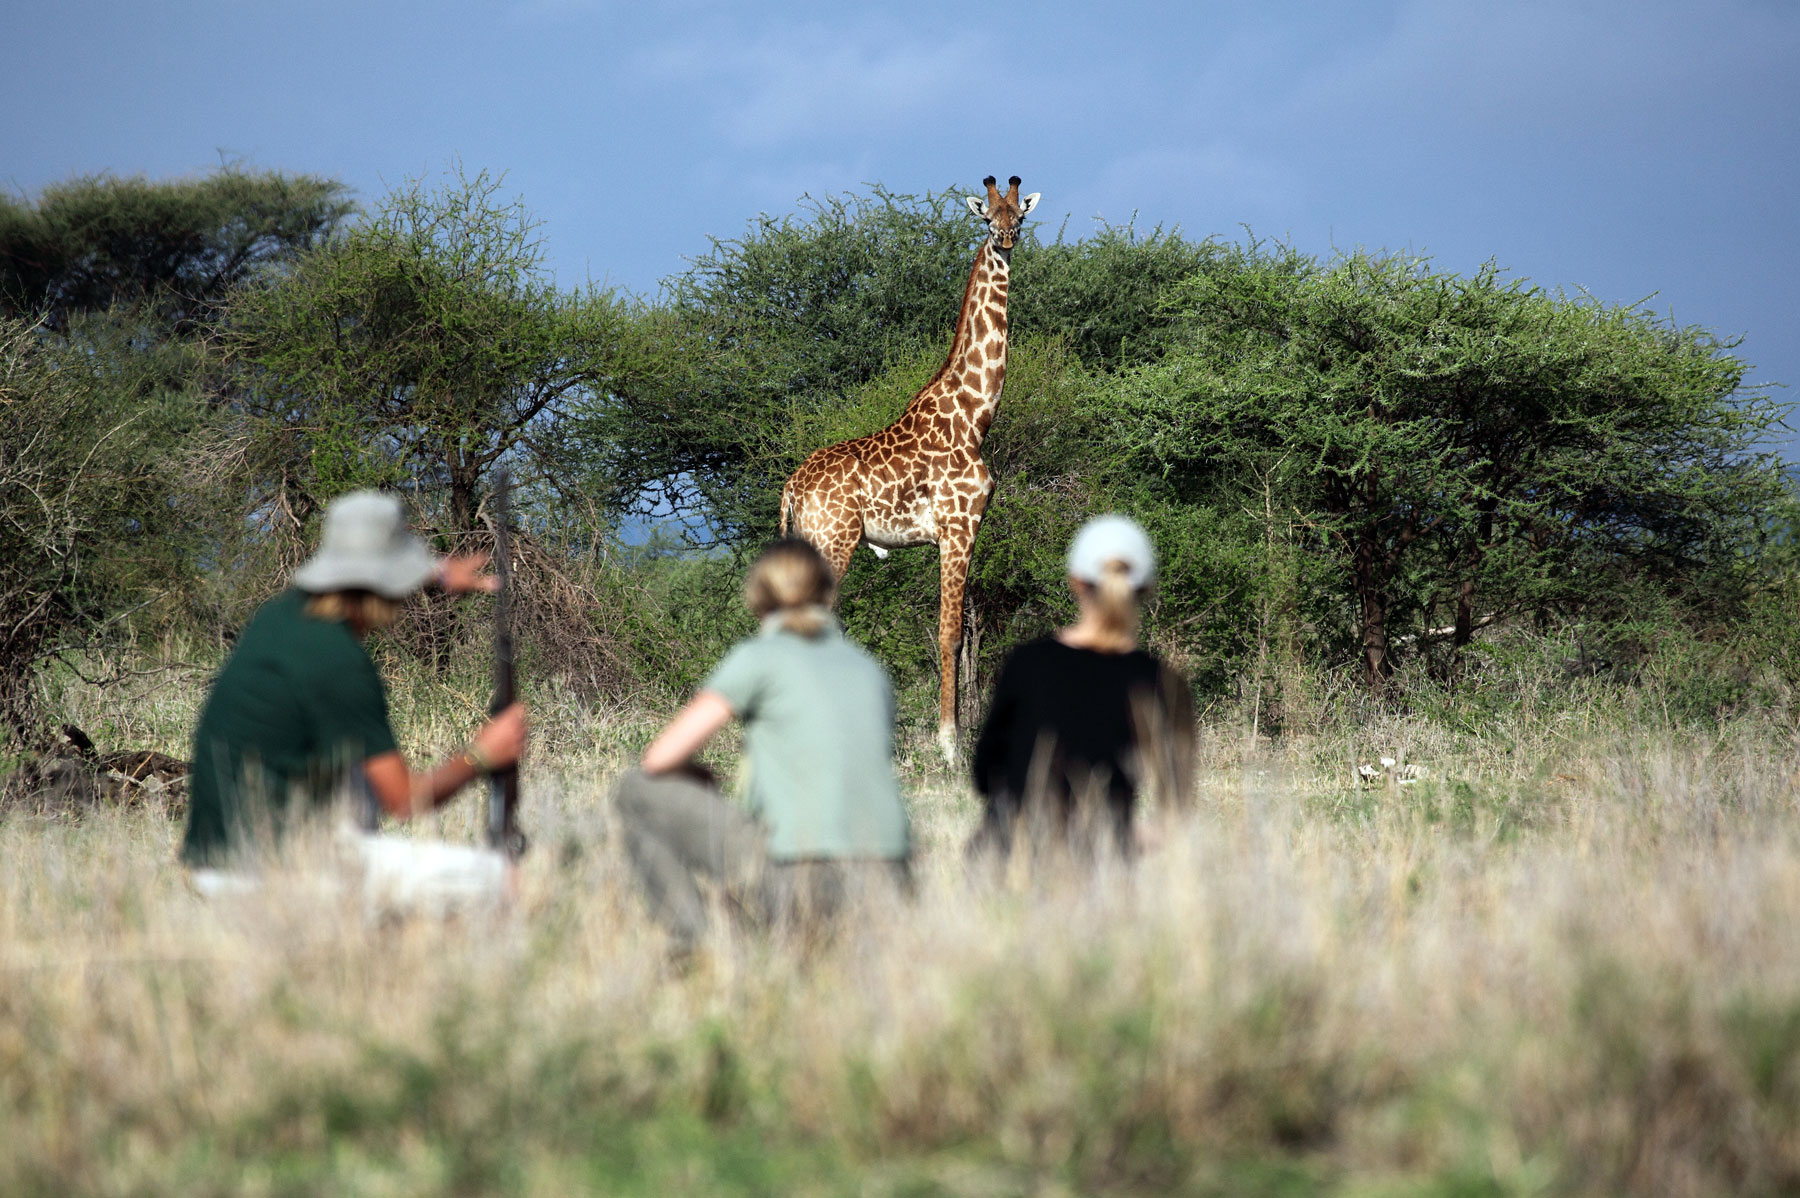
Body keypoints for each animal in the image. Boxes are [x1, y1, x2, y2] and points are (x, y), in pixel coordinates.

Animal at [780, 174, 1039, 762]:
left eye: (1020, 217)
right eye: (987, 219)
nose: (1007, 241)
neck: (975, 414)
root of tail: (791, 487)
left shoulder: (961, 531)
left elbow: (959, 634)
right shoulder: (958, 526)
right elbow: (950, 633)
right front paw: (949, 746)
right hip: (834, 542)